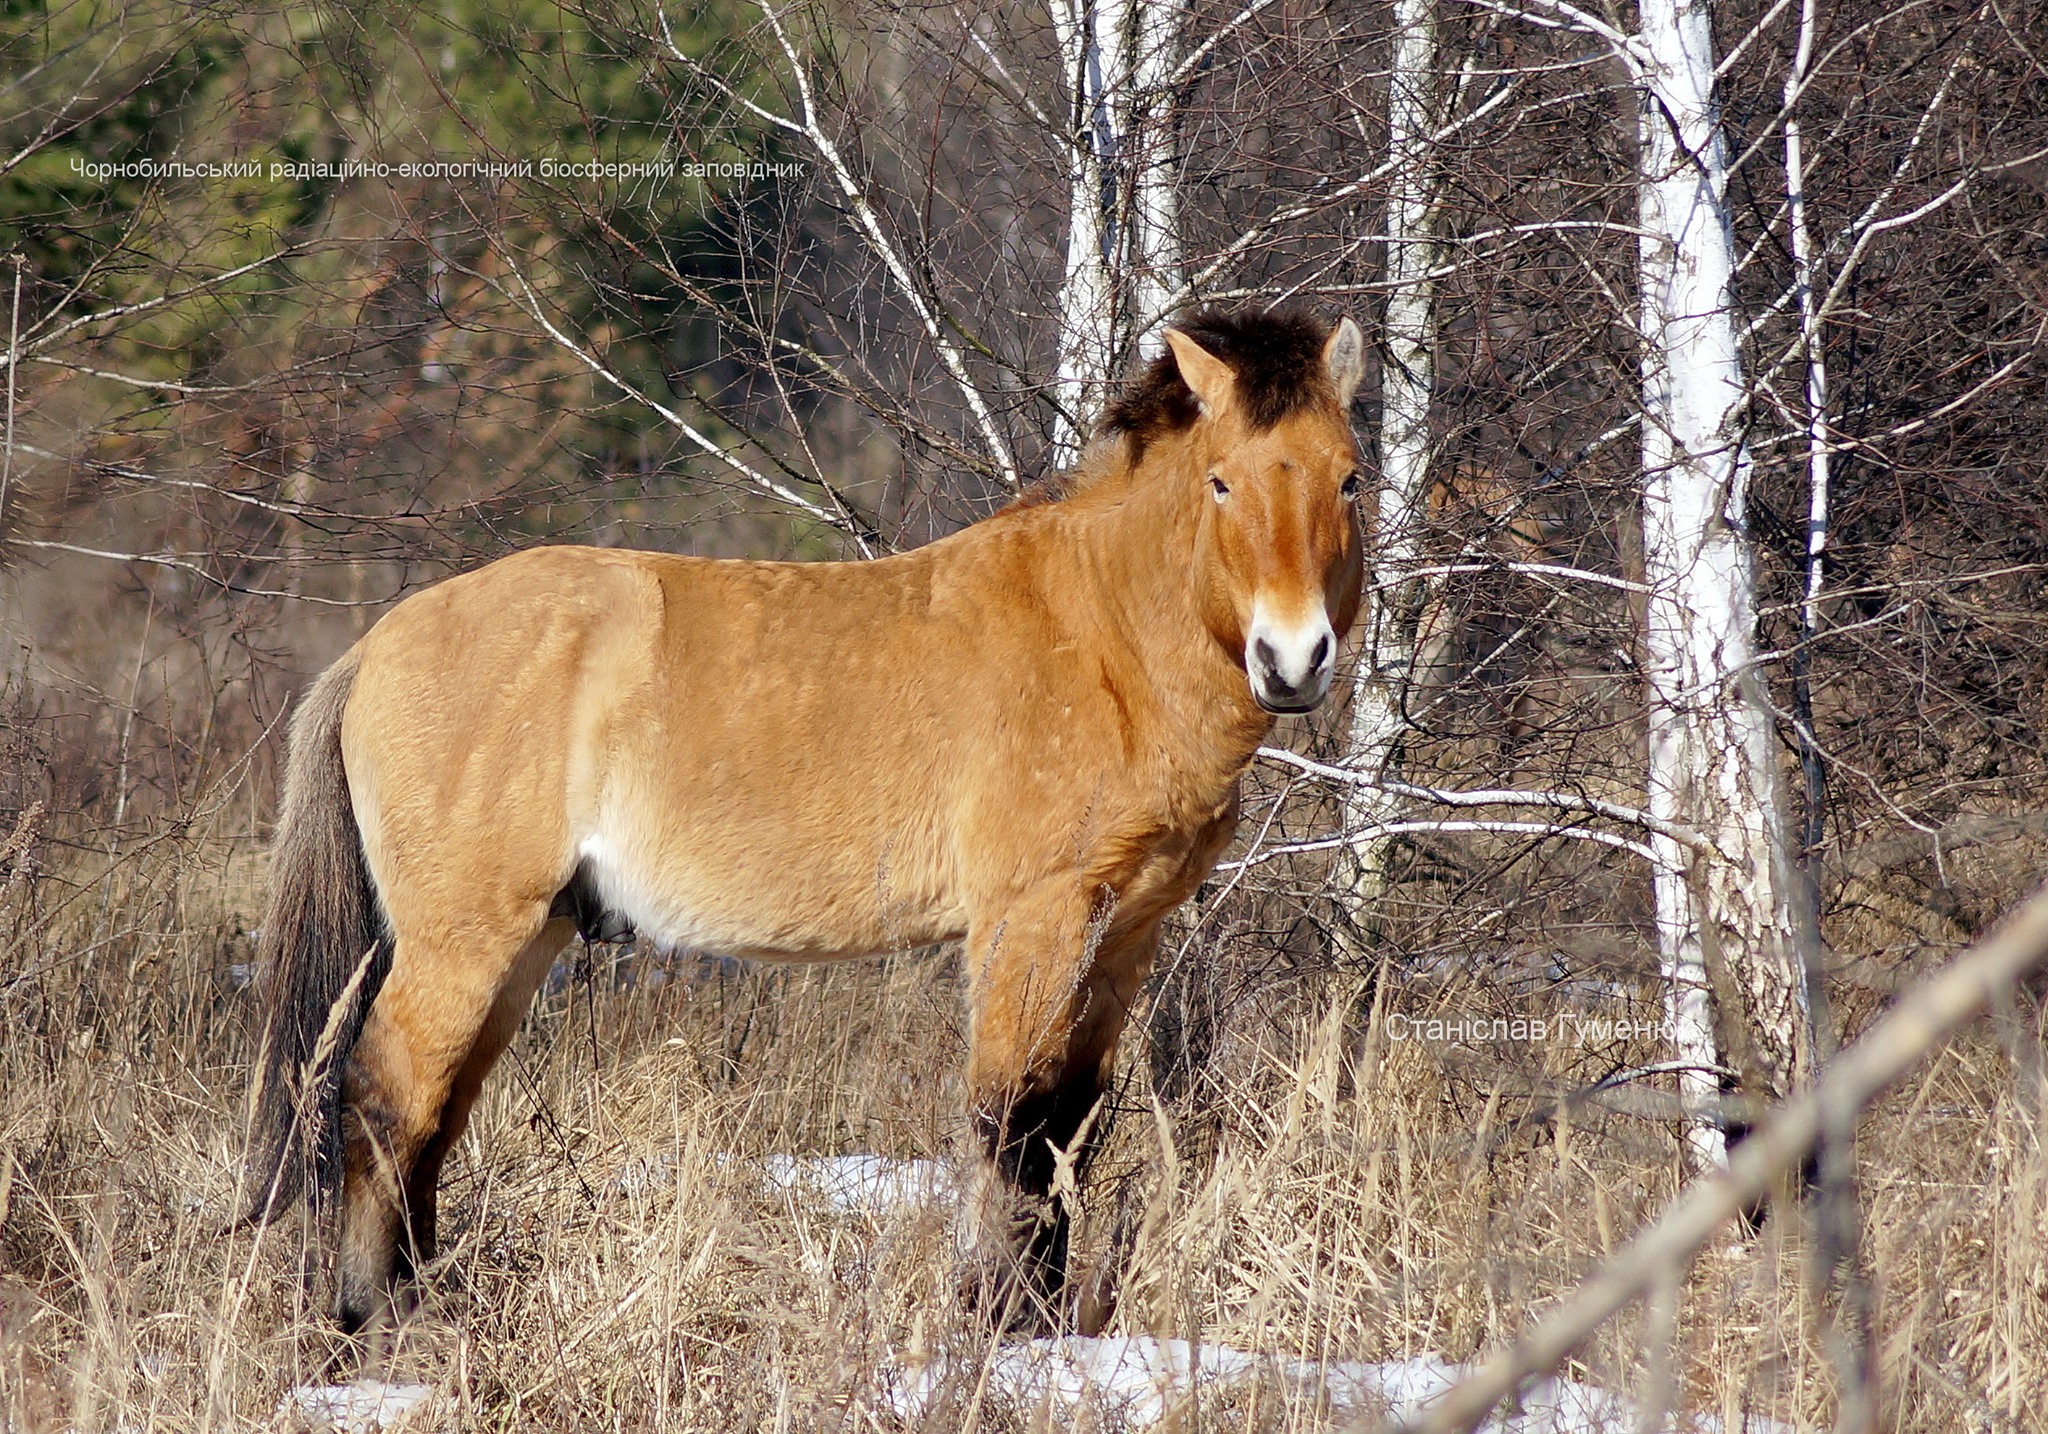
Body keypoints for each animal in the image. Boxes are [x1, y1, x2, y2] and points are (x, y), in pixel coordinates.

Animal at [247, 303, 1368, 1335]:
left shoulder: (1125, 932)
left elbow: (1067, 1131)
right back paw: (377, 1319)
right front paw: (994, 1322)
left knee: (436, 1112)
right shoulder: (1031, 923)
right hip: (464, 937)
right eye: (1221, 481)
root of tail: (376, 646)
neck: (1097, 631)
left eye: (1349, 477)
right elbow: (1009, 1122)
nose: (1292, 659)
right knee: (388, 1096)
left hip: (526, 941)